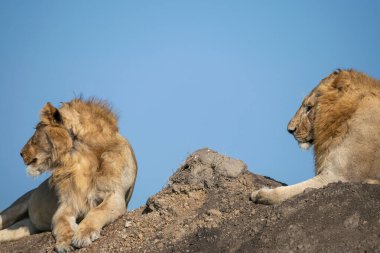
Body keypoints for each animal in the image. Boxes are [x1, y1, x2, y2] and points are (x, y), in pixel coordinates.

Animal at [0, 98, 137, 252]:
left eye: (37, 130)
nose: (21, 153)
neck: (81, 159)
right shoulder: (68, 204)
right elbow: (62, 224)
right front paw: (65, 243)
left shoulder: (116, 195)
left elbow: (97, 211)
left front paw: (84, 234)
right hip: (15, 208)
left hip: (25, 226)